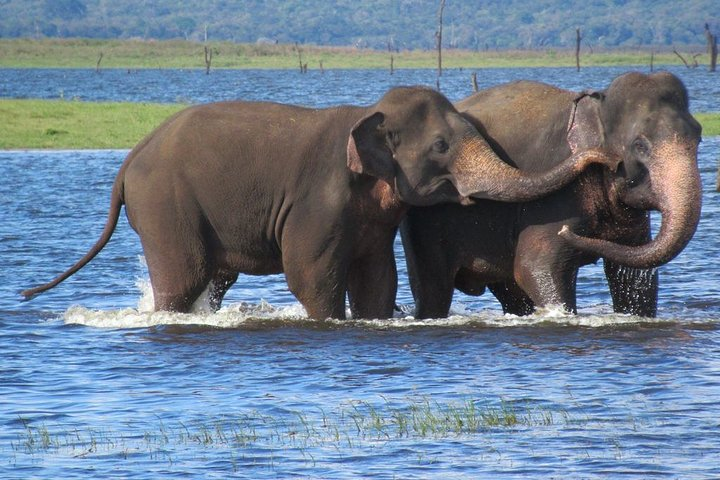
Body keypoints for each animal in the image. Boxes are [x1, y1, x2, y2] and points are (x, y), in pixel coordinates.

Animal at [23, 85, 620, 318]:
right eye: (441, 147)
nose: (604, 159)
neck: (369, 112)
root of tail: (129, 162)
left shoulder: (374, 219)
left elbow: (377, 277)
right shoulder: (320, 200)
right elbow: (310, 274)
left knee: (212, 281)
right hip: (165, 208)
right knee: (184, 278)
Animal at [402, 71, 700, 318]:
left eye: (698, 137)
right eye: (640, 146)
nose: (569, 233)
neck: (596, 107)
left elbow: (634, 275)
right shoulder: (552, 200)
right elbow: (535, 266)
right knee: (435, 290)